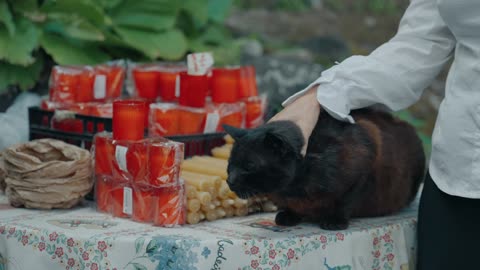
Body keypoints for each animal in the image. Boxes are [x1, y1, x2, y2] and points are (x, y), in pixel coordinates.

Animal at [224, 108, 424, 231]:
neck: (295, 187)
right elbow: (291, 206)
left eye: (249, 166)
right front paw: (290, 215)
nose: (230, 180)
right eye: (230, 164)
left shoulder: (363, 166)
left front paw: (335, 221)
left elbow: (345, 202)